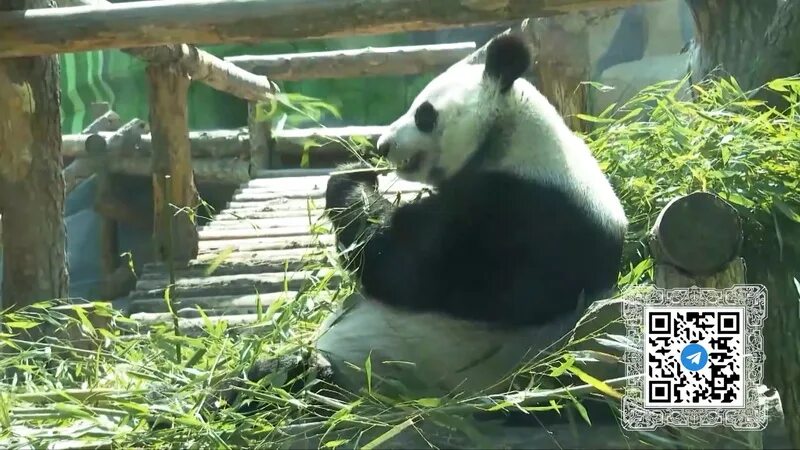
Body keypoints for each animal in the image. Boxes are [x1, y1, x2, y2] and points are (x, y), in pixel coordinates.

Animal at [316, 36, 628, 400]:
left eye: (424, 113)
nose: (383, 145)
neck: (508, 139)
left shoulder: (523, 211)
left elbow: (402, 266)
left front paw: (351, 180)